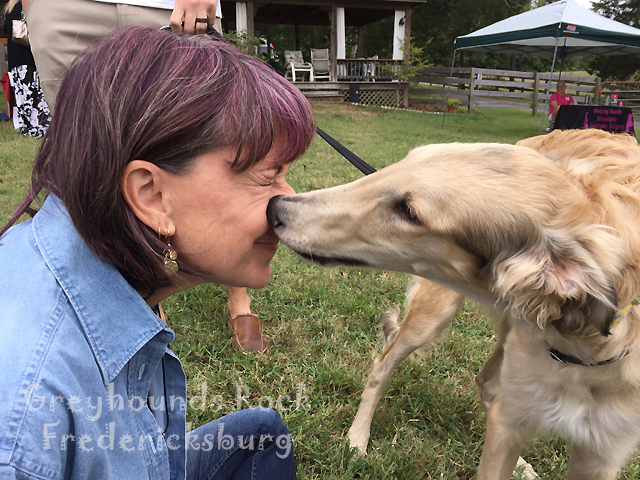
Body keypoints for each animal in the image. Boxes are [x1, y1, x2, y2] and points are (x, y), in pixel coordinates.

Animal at [267, 129, 640, 479]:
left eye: (409, 211)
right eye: (399, 164)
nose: (274, 207)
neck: (579, 351)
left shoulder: (601, 453)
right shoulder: (513, 414)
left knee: (487, 384)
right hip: (435, 314)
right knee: (383, 365)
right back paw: (357, 439)